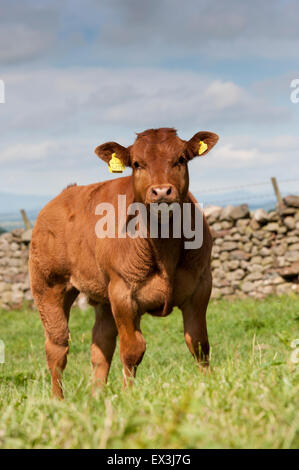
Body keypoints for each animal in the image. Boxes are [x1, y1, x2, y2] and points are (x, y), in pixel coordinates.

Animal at [29, 127, 219, 396]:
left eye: (181, 159)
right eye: (137, 163)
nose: (162, 192)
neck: (164, 249)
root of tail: (63, 194)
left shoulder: (201, 286)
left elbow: (199, 343)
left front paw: (209, 384)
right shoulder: (123, 293)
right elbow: (133, 350)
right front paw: (129, 394)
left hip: (102, 296)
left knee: (101, 344)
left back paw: (97, 395)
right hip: (49, 285)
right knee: (57, 347)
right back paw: (58, 400)